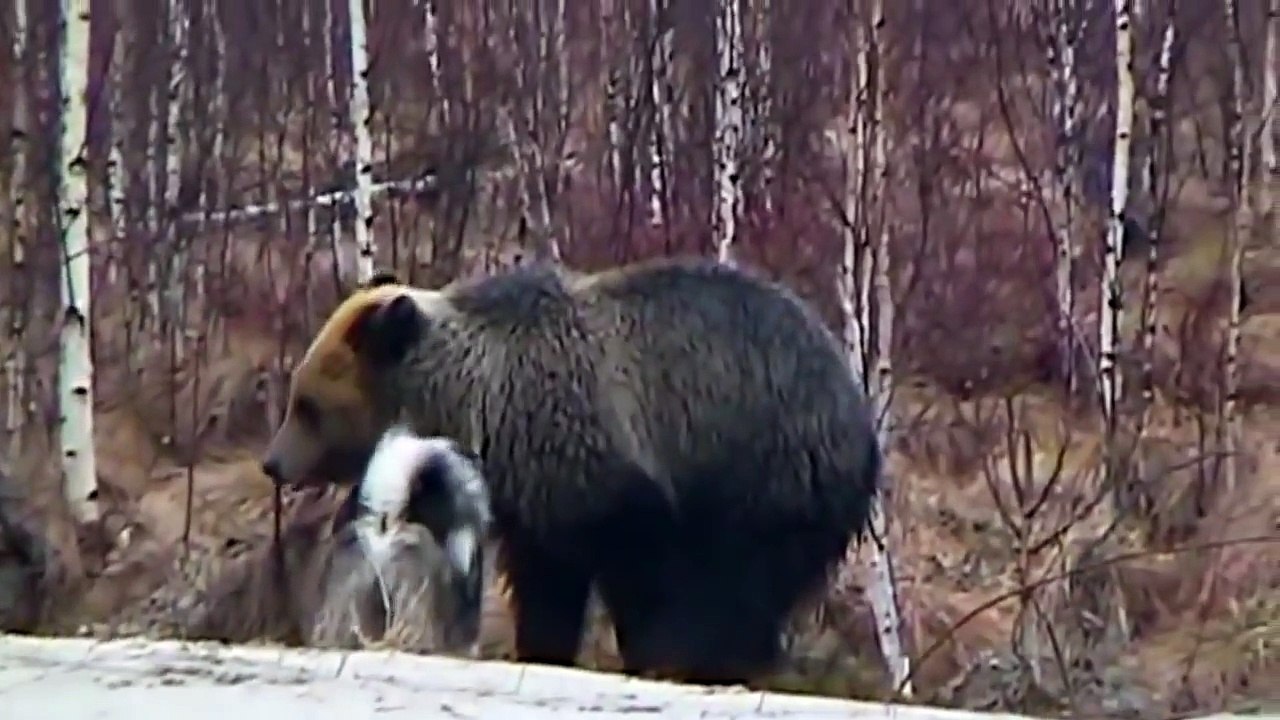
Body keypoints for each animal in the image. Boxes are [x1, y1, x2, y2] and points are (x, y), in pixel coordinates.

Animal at [261, 256, 883, 685]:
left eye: (308, 405)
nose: (272, 461)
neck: (483, 409)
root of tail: (859, 416)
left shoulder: (607, 468)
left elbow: (639, 569)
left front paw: (656, 650)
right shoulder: (539, 498)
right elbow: (546, 583)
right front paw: (543, 644)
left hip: (765, 469)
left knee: (739, 579)